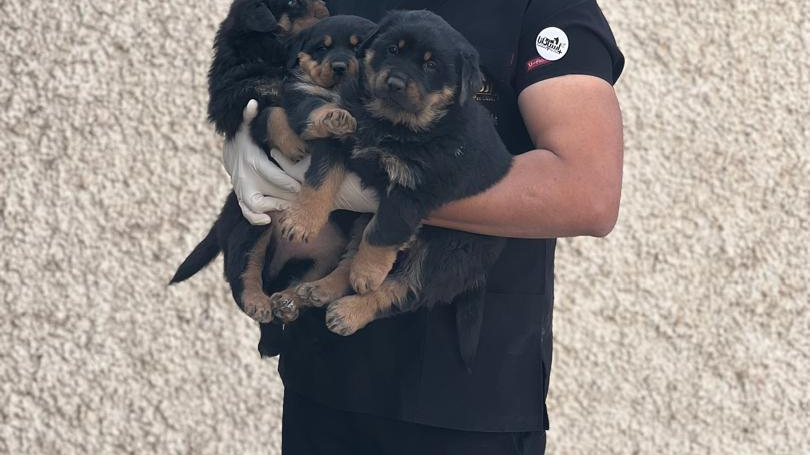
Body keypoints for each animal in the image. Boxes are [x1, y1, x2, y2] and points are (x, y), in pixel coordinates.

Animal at [267, 10, 514, 368]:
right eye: (393, 50)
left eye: (431, 65)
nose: (395, 82)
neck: (390, 123)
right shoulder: (340, 139)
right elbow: (319, 181)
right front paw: (301, 222)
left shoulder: (415, 189)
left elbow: (384, 230)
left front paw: (368, 274)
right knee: (352, 255)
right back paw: (319, 289)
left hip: (446, 254)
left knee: (403, 292)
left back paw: (349, 311)